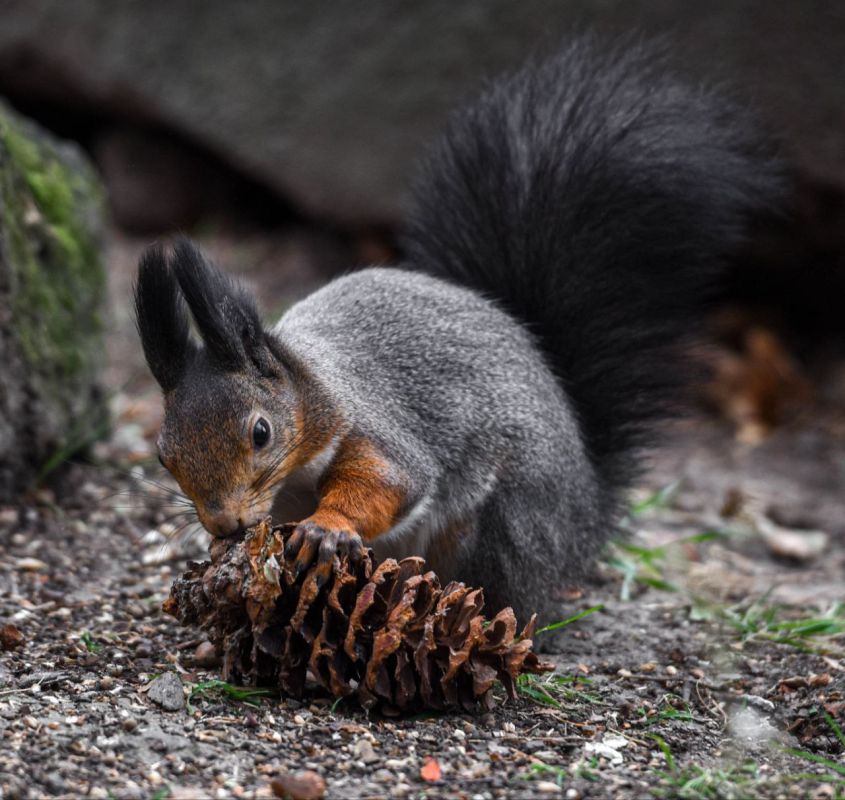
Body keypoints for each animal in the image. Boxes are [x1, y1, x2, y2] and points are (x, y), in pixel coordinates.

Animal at [137, 37, 780, 624]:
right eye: (165, 457)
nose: (224, 522)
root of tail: (584, 520)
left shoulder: (375, 426)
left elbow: (389, 481)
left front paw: (326, 528)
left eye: (262, 432)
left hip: (500, 528)